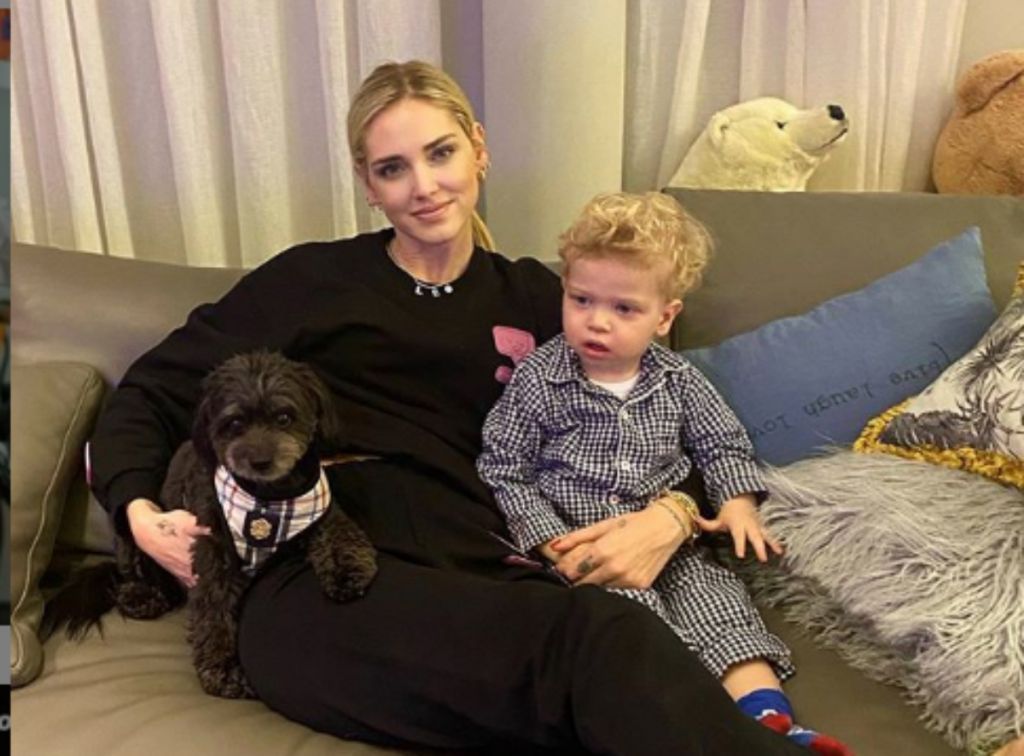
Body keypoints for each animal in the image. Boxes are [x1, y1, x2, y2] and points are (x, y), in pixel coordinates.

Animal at [42, 351, 378, 698]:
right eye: (235, 423)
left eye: (284, 417)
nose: (260, 461)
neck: (269, 497)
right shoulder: (214, 550)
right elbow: (214, 610)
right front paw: (223, 670)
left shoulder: (322, 512)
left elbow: (341, 534)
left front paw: (347, 573)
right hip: (130, 536)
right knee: (131, 574)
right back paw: (142, 596)